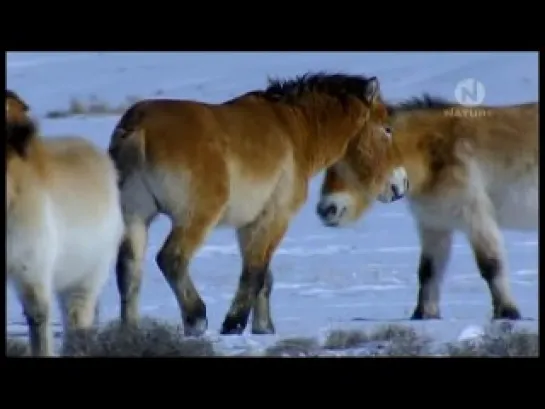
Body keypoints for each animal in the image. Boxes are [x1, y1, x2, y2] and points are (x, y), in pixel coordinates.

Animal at [108, 72, 408, 334]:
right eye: (387, 129)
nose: (401, 185)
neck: (294, 130)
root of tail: (138, 129)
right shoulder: (275, 218)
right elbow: (255, 271)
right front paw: (234, 324)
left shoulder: (249, 224)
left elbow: (263, 276)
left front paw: (264, 328)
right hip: (195, 217)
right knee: (172, 259)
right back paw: (196, 319)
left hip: (136, 218)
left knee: (129, 270)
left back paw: (130, 331)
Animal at [316, 94, 536, 320]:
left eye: (355, 158)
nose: (327, 209)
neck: (434, 153)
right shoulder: (434, 225)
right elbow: (428, 270)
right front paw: (424, 314)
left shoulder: (477, 219)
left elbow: (491, 265)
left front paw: (507, 311)